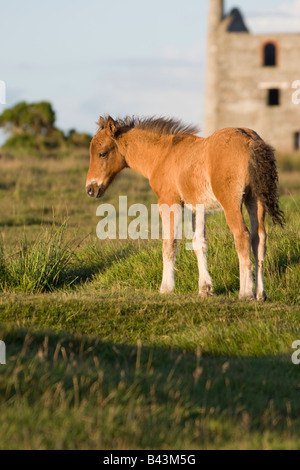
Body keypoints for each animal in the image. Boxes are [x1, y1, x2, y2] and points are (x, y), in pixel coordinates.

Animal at [85, 117, 284, 302]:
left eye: (102, 153)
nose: (90, 189)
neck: (162, 155)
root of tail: (250, 139)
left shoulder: (168, 201)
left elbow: (169, 243)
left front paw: (166, 288)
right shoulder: (198, 206)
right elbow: (199, 243)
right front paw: (205, 289)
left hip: (231, 201)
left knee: (242, 236)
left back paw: (245, 293)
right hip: (255, 199)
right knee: (259, 238)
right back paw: (260, 293)